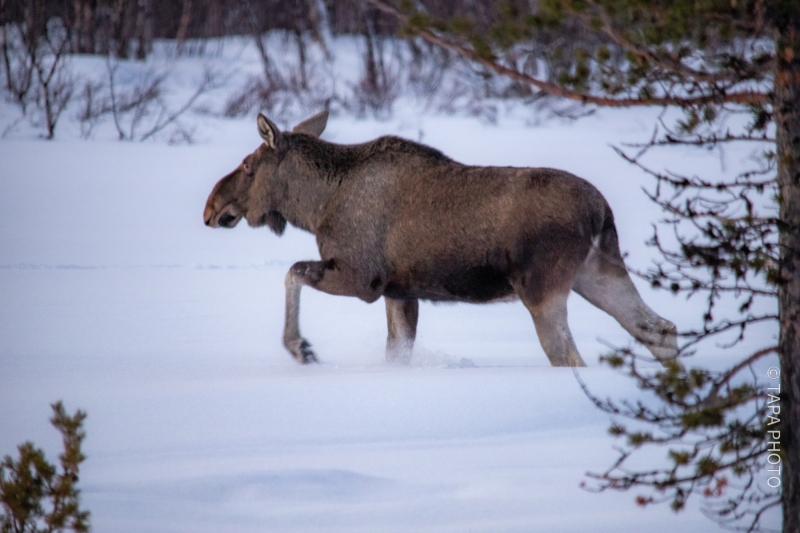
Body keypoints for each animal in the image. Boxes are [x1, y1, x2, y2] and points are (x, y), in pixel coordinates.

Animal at [205, 111, 676, 366]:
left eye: (248, 165)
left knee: (567, 355)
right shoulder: (400, 291)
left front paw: (301, 348)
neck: (315, 207)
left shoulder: (364, 279)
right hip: (597, 272)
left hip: (543, 287)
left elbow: (292, 272)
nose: (211, 206)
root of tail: (600, 209)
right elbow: (396, 352)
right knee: (658, 328)